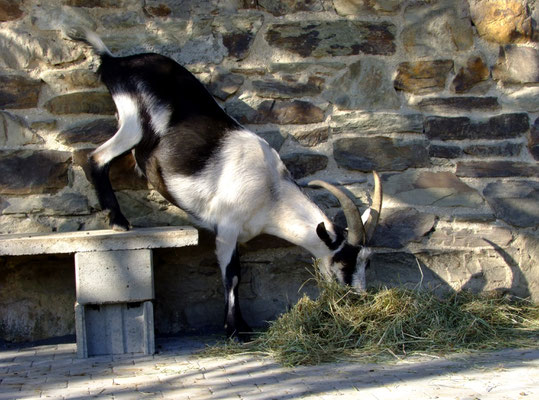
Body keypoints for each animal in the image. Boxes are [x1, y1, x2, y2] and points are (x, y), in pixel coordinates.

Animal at [67, 29, 384, 340]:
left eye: (368, 261)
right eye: (344, 260)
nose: (359, 297)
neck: (271, 192)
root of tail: (114, 61)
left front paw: (240, 325)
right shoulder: (226, 227)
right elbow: (232, 275)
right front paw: (235, 329)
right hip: (133, 124)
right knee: (96, 158)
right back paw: (119, 221)